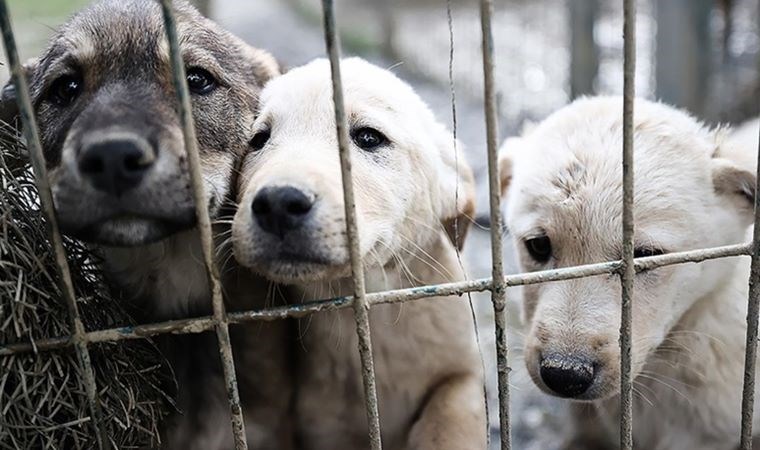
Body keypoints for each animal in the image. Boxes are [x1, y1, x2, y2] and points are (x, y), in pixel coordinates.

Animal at [230, 58, 486, 448]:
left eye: (368, 137)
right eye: (258, 139)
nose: (277, 204)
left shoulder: (465, 370)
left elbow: (452, 414)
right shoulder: (323, 424)